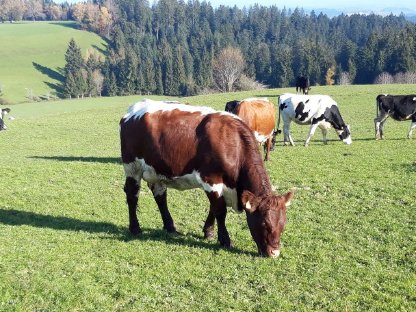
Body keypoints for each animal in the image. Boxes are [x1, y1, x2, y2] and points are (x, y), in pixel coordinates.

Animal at [121, 98, 292, 258]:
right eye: (264, 223)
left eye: (283, 224)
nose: (274, 253)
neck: (233, 144)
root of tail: (133, 110)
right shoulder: (211, 180)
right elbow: (220, 211)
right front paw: (225, 240)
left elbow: (213, 208)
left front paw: (208, 232)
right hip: (132, 167)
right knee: (132, 195)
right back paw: (135, 228)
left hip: (157, 171)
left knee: (161, 197)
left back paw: (170, 227)